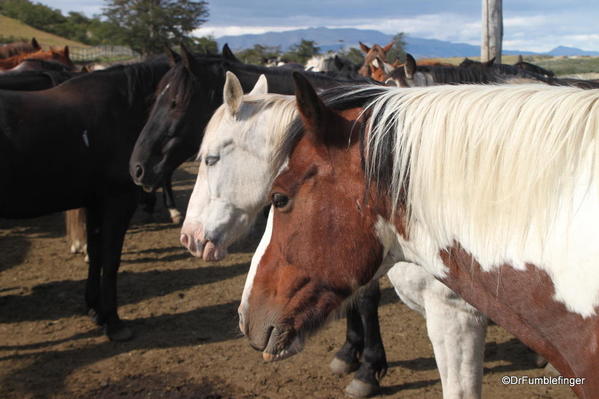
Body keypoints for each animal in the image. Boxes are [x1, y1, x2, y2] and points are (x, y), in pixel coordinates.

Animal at [0, 57, 176, 342]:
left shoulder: (95, 201)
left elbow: (95, 254)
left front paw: (96, 310)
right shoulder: (118, 202)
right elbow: (110, 258)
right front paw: (114, 322)